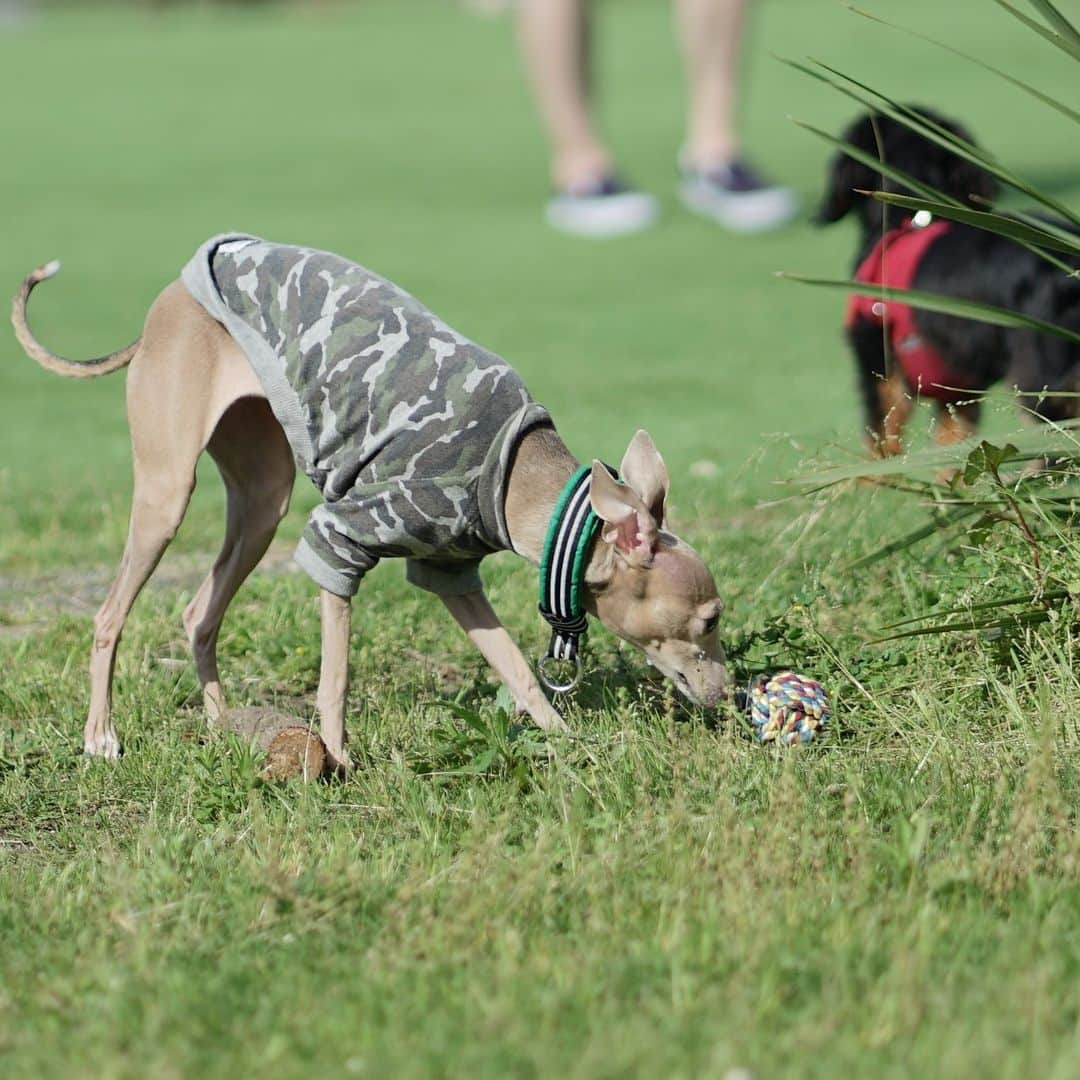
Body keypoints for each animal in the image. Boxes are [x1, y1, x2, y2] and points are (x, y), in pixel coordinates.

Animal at [12, 254, 725, 768]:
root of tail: (164, 307)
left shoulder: (451, 571)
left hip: (262, 498)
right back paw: (101, 737)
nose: (726, 697)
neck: (516, 476)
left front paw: (568, 742)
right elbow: (336, 675)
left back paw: (220, 723)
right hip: (167, 492)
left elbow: (518, 669)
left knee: (198, 612)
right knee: (109, 617)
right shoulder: (338, 538)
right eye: (712, 619)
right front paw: (338, 757)